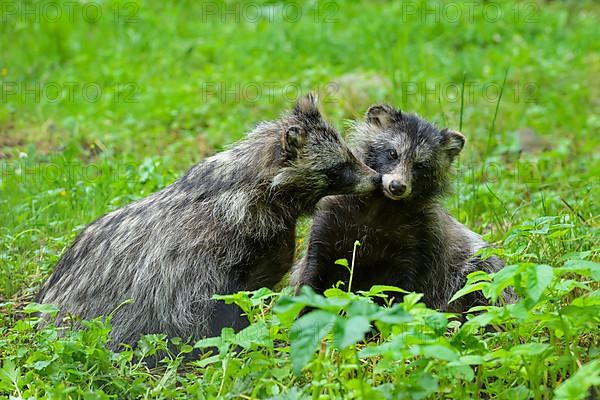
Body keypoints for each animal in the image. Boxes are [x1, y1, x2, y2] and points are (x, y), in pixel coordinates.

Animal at [292, 104, 516, 310]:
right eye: (392, 153)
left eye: (420, 165)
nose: (397, 186)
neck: (381, 203)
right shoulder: (331, 219)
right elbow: (314, 272)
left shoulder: (421, 239)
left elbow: (407, 289)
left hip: (479, 267)